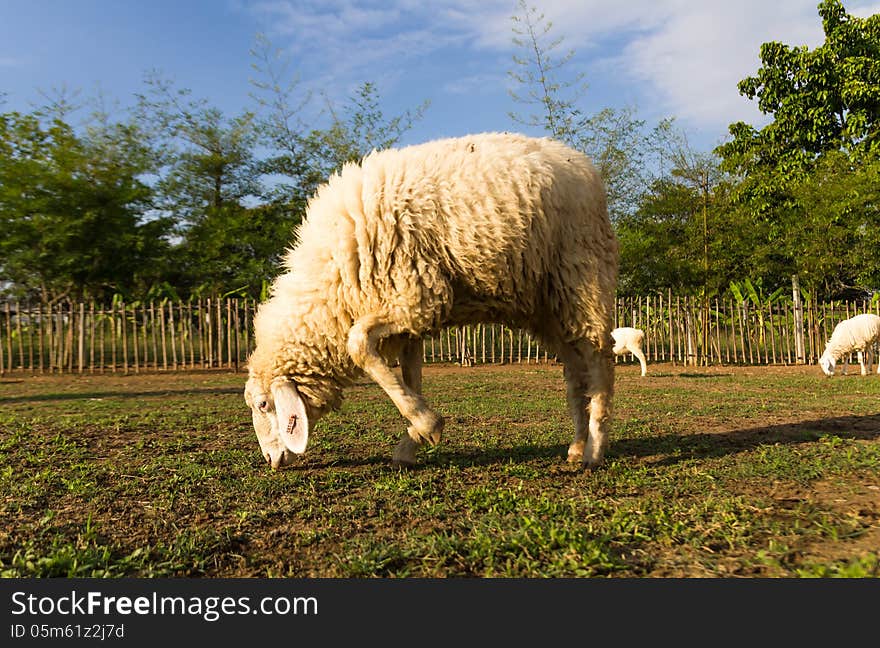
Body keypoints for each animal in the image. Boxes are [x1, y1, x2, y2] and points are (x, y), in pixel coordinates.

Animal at [244, 133, 624, 476]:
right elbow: (409, 376)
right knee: (576, 374)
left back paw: (595, 449)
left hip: (581, 276)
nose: (271, 460)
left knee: (599, 363)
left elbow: (358, 345)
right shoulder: (409, 318)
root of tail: (582, 164)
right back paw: (576, 447)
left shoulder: (419, 297)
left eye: (263, 404)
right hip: (549, 306)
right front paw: (413, 439)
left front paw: (427, 425)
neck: (331, 283)